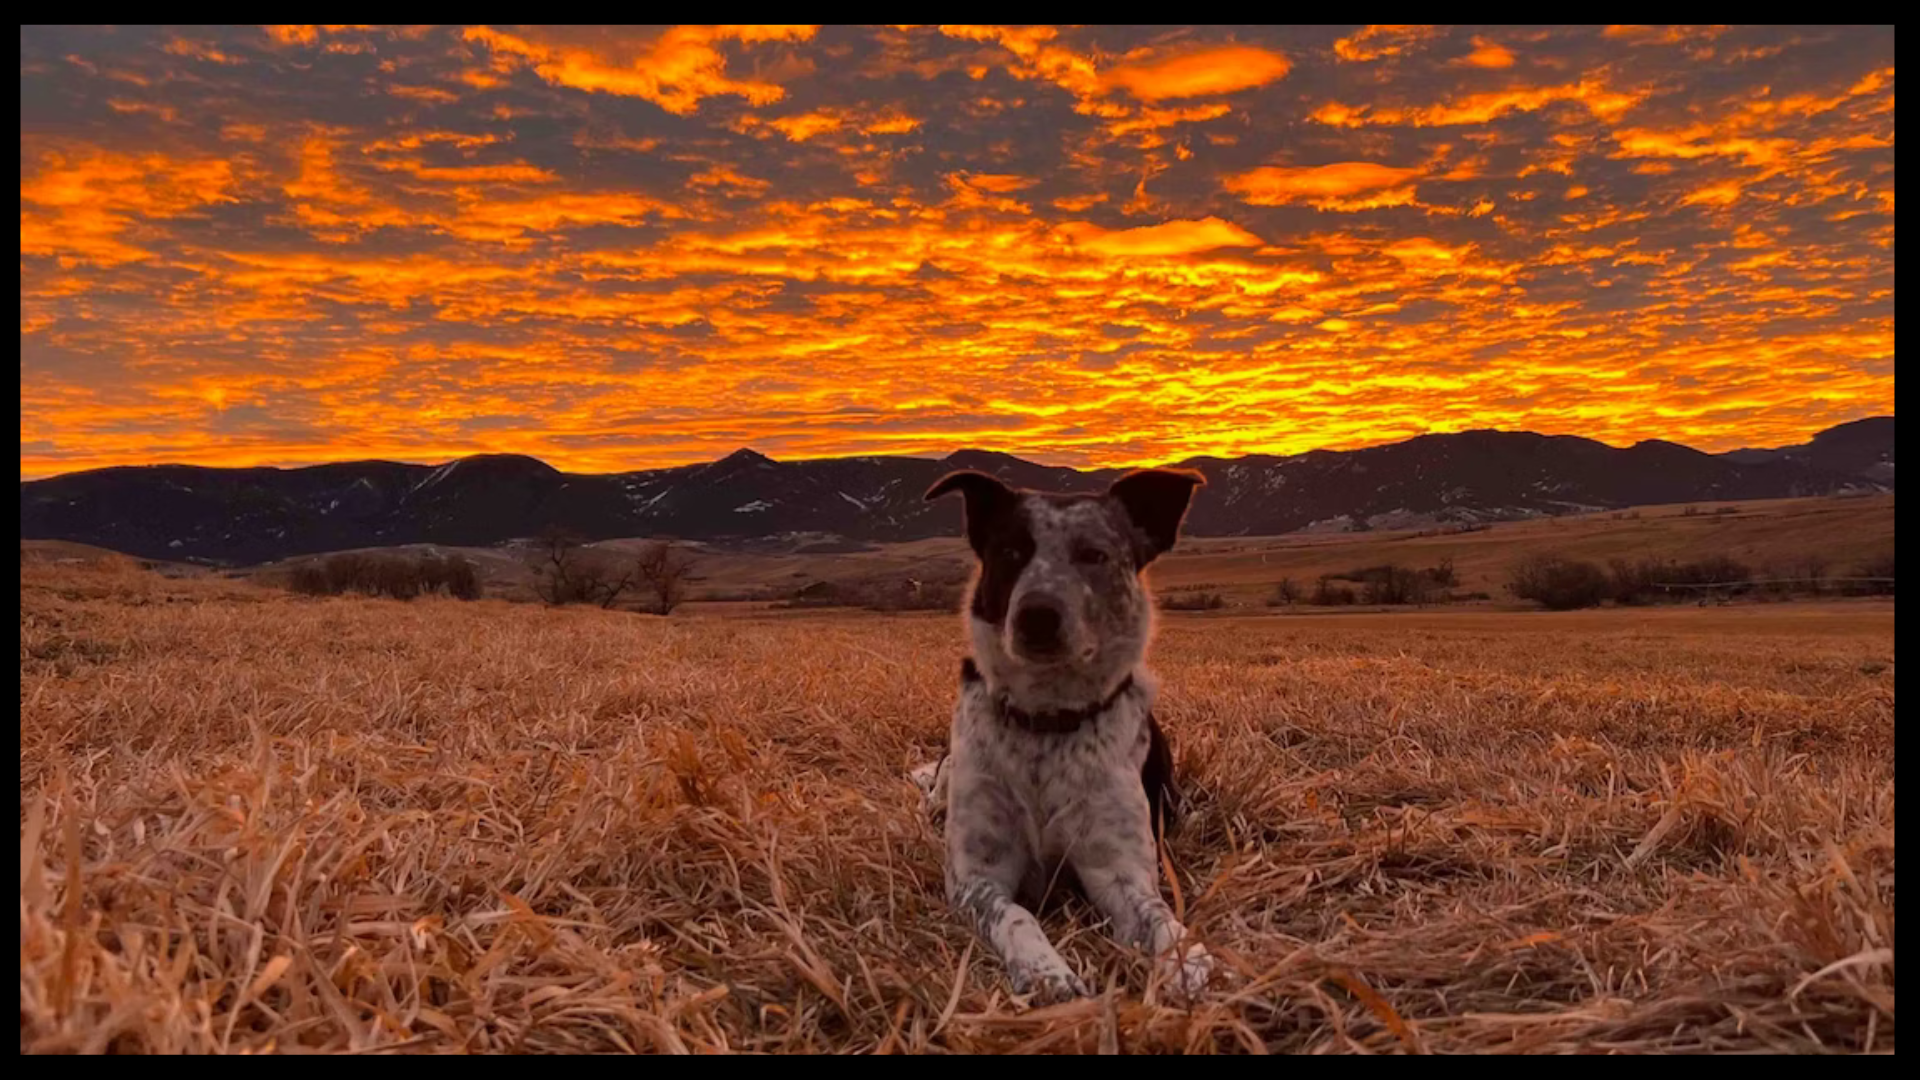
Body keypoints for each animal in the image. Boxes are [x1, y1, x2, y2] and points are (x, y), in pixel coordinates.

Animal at [913, 466, 1213, 1006]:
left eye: (1093, 554)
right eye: (1010, 551)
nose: (1037, 614)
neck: (1047, 723)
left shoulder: (1118, 872)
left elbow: (1157, 915)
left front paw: (1184, 960)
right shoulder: (976, 878)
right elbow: (1016, 914)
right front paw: (1045, 971)